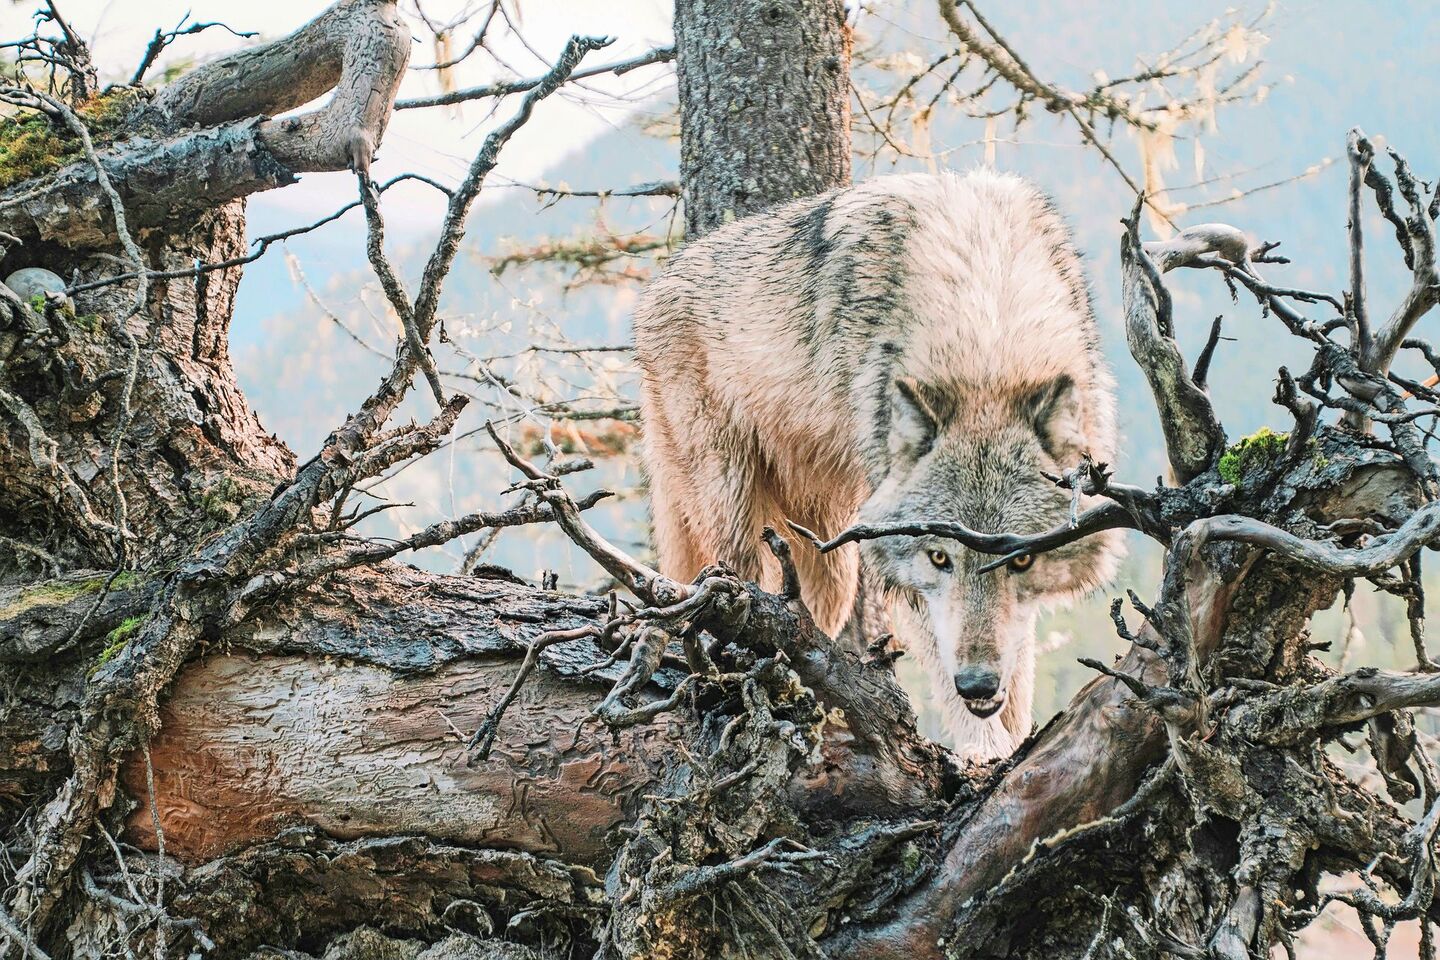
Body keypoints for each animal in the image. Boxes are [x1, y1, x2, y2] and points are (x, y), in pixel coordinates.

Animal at [634, 169, 1121, 758]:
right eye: (939, 558)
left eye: (1021, 560)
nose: (978, 684)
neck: (987, 329)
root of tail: (658, 284)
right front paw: (984, 752)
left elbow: (1020, 662)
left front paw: (1015, 739)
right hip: (738, 520)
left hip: (828, 561)